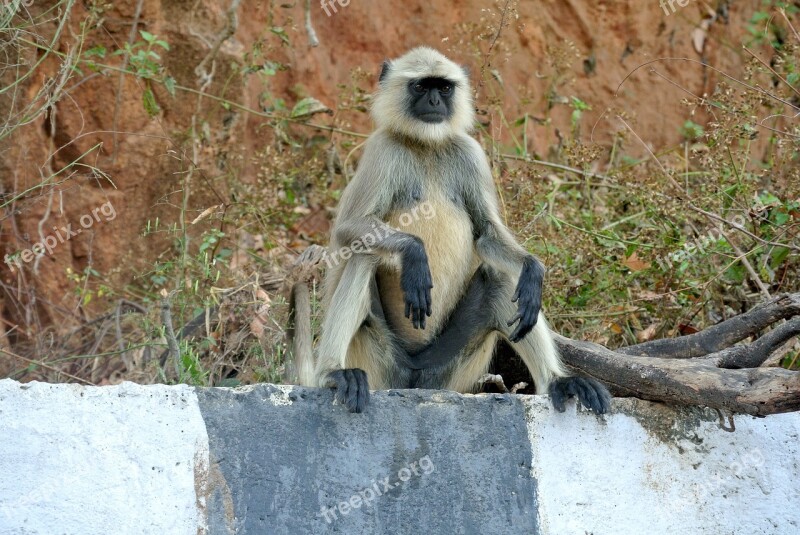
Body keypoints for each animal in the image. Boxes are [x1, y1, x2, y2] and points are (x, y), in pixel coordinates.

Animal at [294, 47, 612, 414]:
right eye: (421, 86)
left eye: (444, 88)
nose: (434, 101)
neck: (427, 146)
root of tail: (414, 377)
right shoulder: (382, 149)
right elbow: (348, 231)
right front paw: (415, 254)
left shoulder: (470, 153)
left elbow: (488, 234)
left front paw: (534, 269)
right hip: (377, 359)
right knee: (365, 256)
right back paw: (332, 373)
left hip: (447, 369)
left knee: (501, 278)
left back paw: (559, 381)